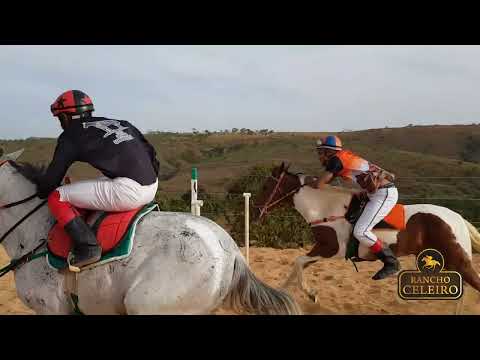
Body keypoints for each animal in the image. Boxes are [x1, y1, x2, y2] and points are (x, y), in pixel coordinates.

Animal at [253, 163, 480, 312]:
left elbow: (298, 262)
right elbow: (295, 269)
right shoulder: (320, 250)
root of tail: (458, 218)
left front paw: (311, 294)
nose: (256, 211)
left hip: (457, 259)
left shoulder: (330, 249)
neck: (325, 207)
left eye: (265, 187)